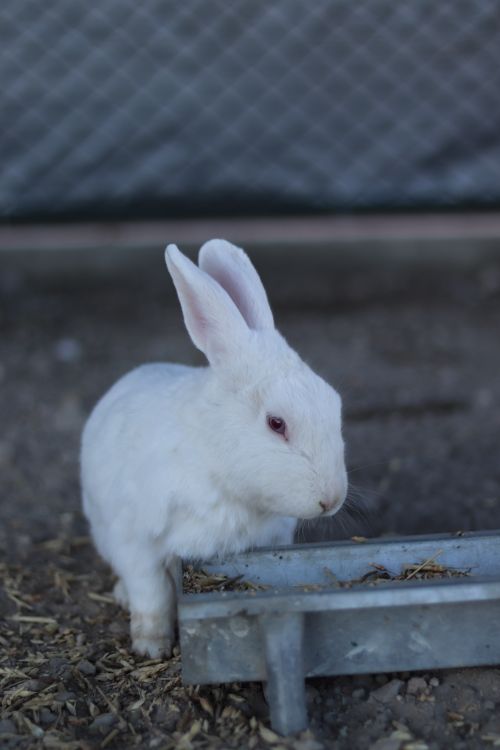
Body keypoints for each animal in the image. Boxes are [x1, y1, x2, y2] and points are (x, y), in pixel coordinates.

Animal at [81, 239, 347, 658]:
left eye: (334, 403)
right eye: (276, 423)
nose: (331, 499)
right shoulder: (136, 542)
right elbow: (151, 595)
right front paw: (152, 646)